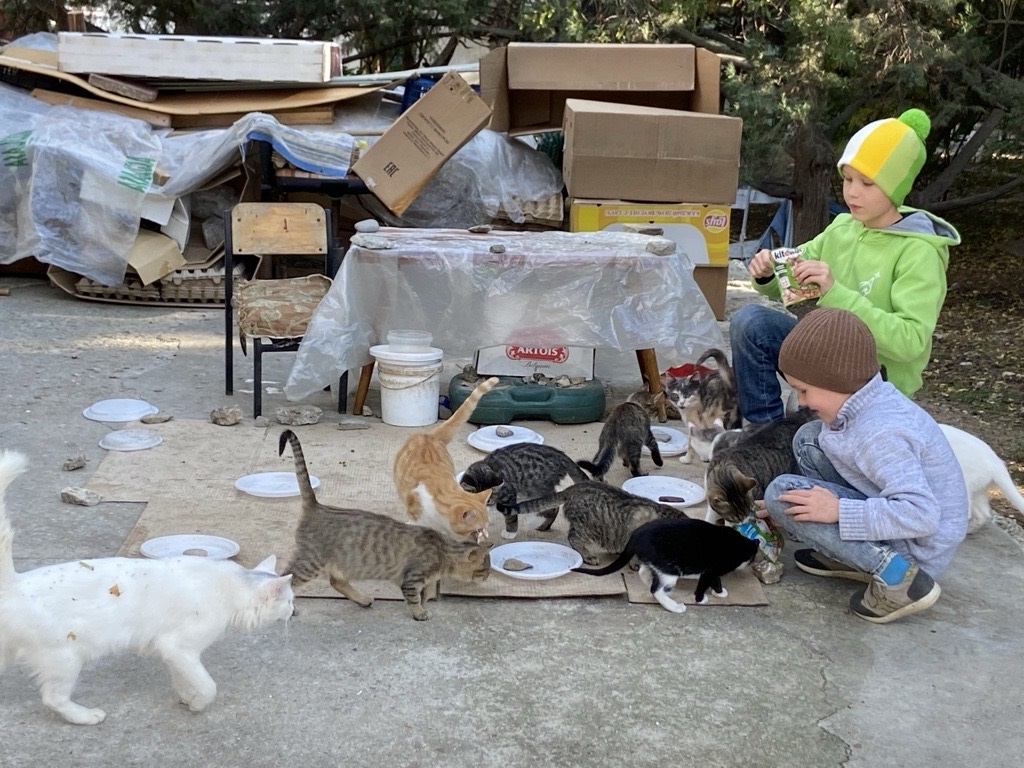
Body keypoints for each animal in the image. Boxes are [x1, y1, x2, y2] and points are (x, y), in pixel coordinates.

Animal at [0, 450, 293, 726]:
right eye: (289, 601)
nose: (293, 610)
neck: (231, 586)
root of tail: (14, 584)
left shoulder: (173, 653)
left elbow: (183, 679)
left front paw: (187, 697)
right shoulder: (178, 647)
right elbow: (208, 685)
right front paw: (199, 703)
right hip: (65, 658)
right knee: (53, 698)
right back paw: (85, 716)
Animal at [280, 431, 490, 620]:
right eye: (484, 569)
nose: (488, 577)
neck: (443, 550)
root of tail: (316, 505)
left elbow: (425, 594)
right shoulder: (412, 580)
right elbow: (414, 599)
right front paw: (420, 613)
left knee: (336, 582)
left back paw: (363, 599)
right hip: (310, 562)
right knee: (283, 580)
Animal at [459, 442, 591, 540]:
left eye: (489, 501)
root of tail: (559, 454)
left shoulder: (508, 495)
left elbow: (511, 517)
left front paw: (510, 532)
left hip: (535, 488)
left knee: (552, 505)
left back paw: (537, 523)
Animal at [573, 517, 758, 613]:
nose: (753, 560)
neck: (739, 543)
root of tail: (636, 535)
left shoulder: (713, 570)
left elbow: (715, 580)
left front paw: (718, 592)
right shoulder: (712, 569)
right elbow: (705, 583)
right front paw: (702, 598)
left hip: (657, 564)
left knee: (644, 573)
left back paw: (653, 584)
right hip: (669, 569)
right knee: (656, 590)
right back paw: (674, 606)